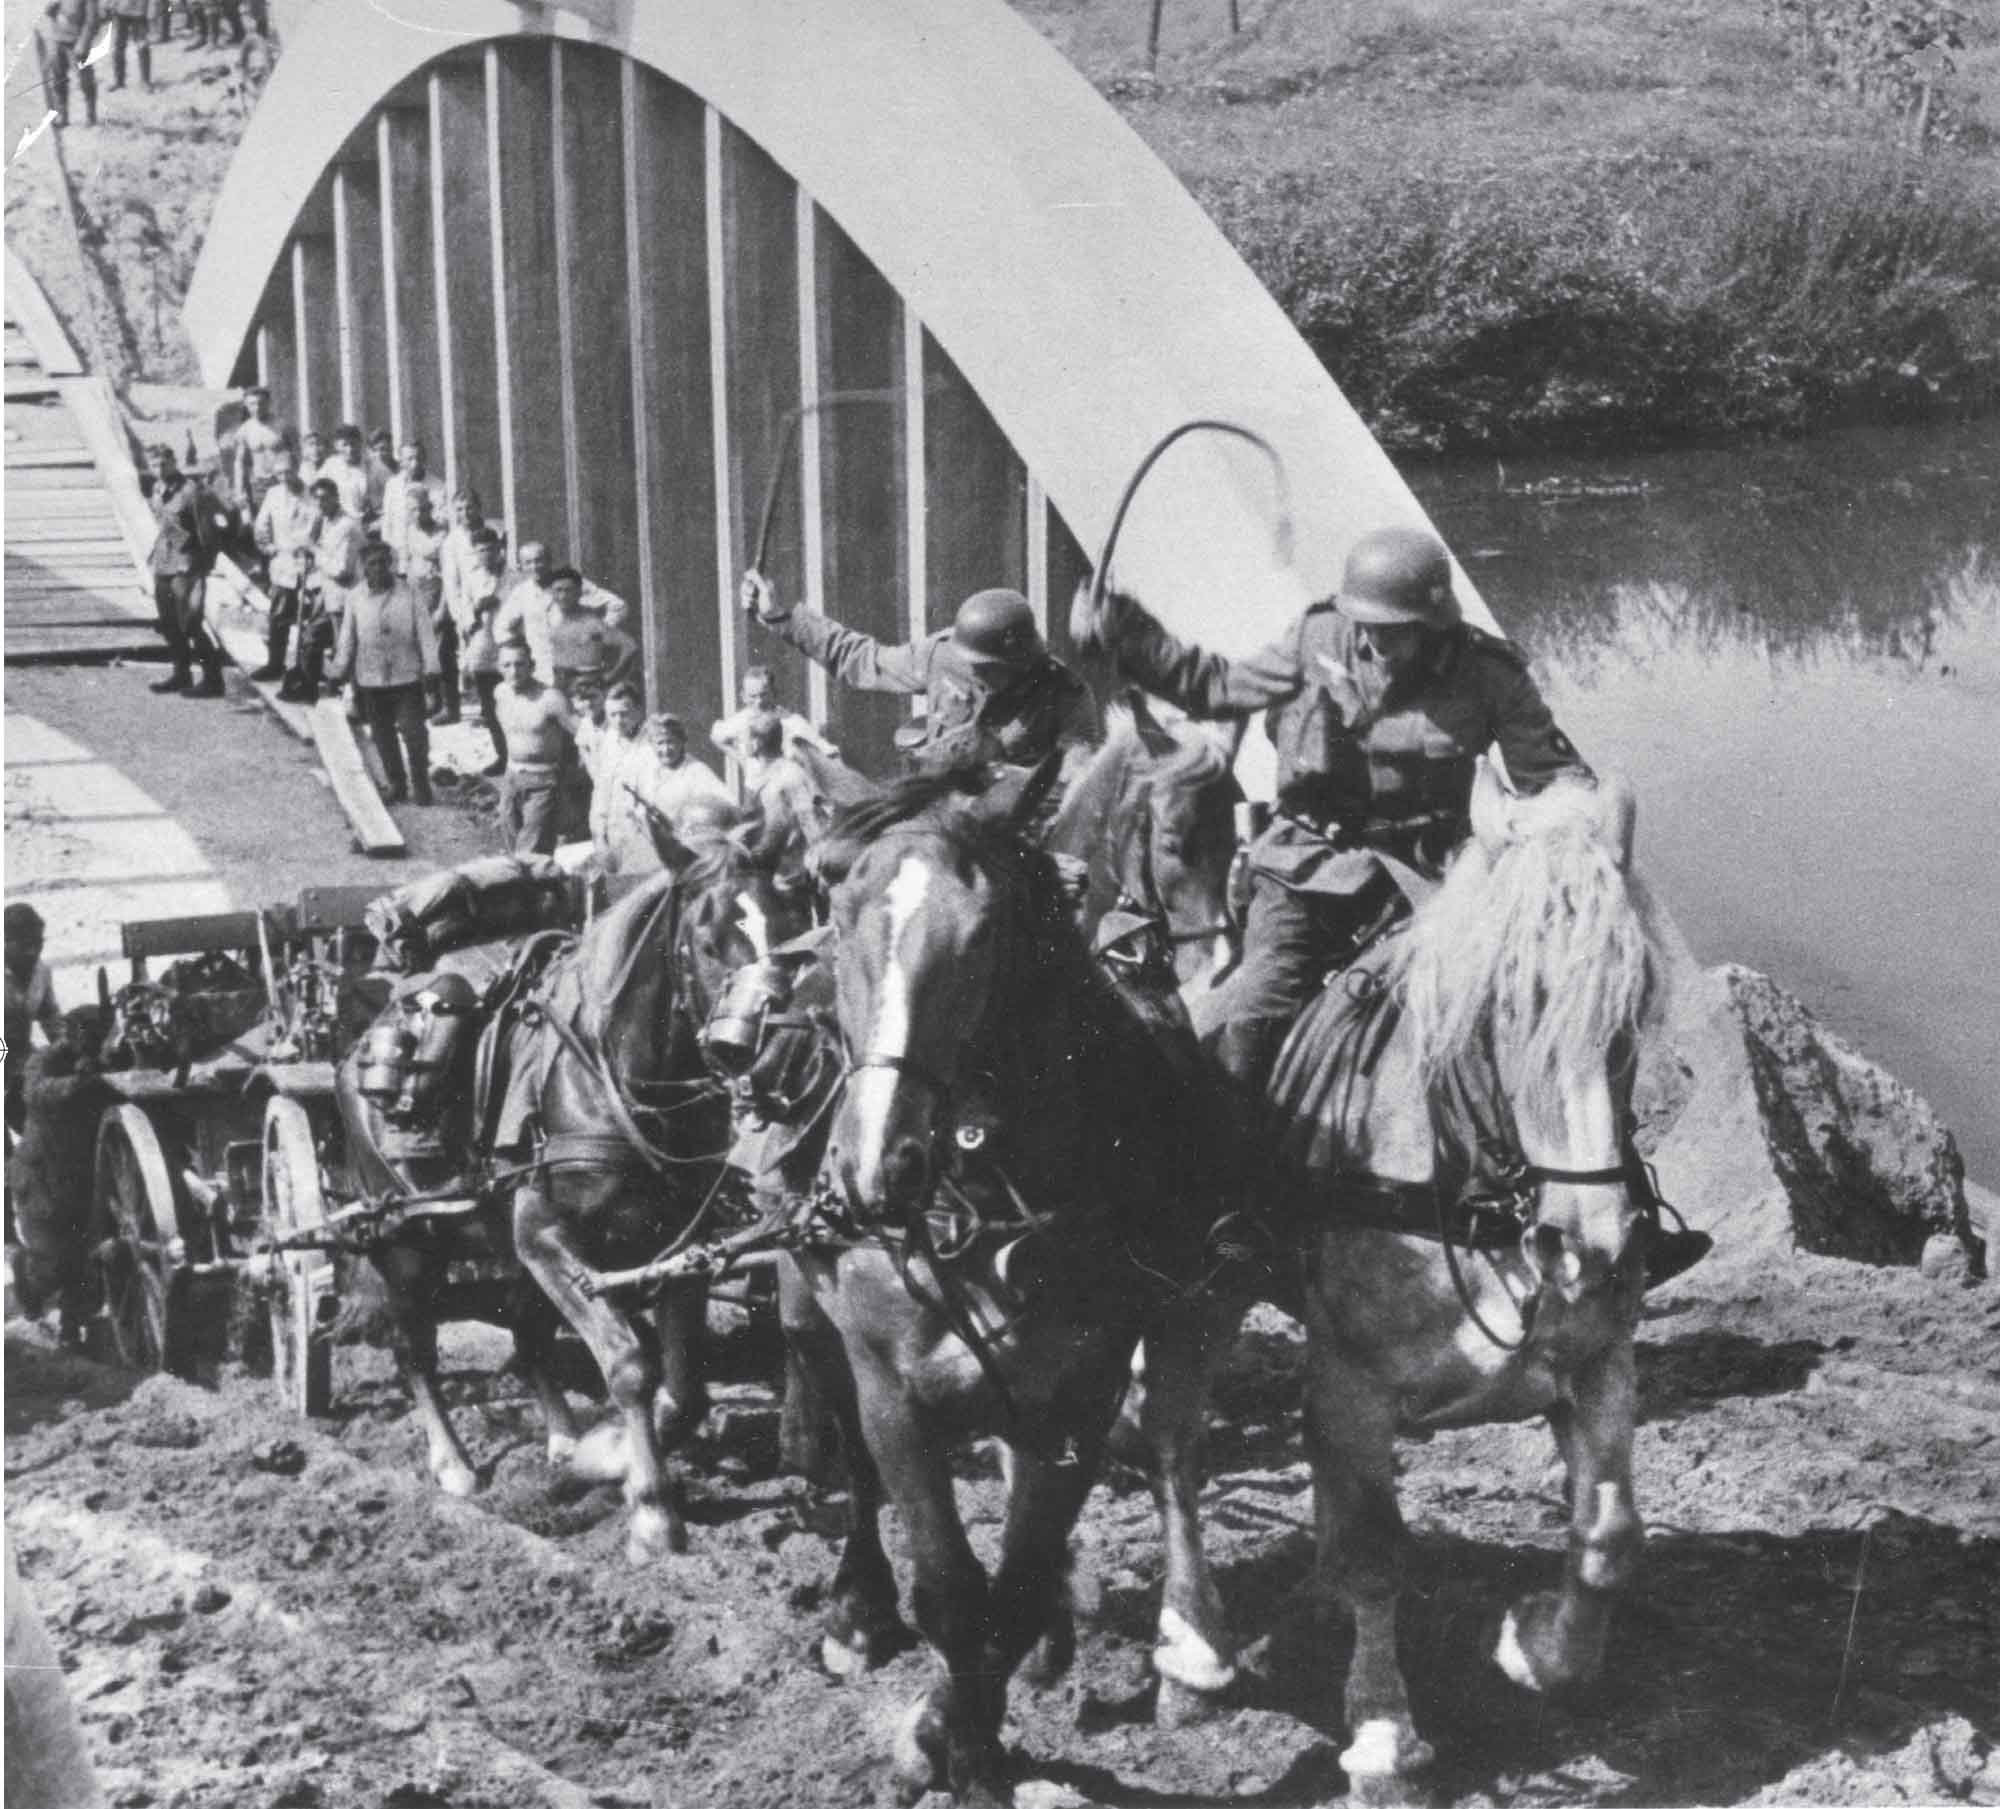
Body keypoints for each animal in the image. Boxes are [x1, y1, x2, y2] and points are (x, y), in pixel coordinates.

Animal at [780, 764, 1232, 1809]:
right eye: (837, 910)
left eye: (985, 934)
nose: (878, 1164)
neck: (977, 1200)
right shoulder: (893, 1393)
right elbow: (950, 1593)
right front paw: (954, 1746)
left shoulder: (1080, 1391)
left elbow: (1011, 1589)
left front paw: (969, 1738)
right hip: (812, 1315)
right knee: (851, 1462)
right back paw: (858, 1609)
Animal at [1128, 756, 1672, 1800]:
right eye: (1510, 1001)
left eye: (1635, 1005)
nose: (1592, 1248)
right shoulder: (1355, 1381)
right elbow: (1378, 1555)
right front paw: (1385, 1735)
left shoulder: (1599, 1363)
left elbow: (1609, 1537)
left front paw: (1541, 1651)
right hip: (1191, 1299)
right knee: (1175, 1447)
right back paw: (1193, 1649)